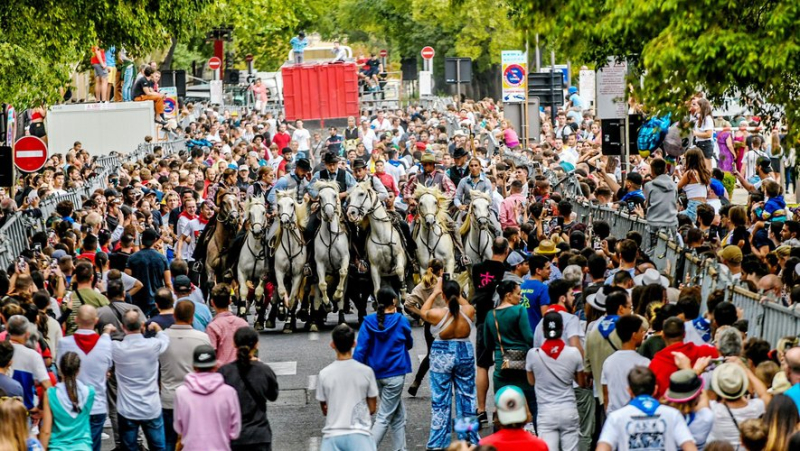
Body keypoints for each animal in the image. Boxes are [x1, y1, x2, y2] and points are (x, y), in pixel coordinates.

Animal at [238, 198, 272, 328]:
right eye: (250, 213)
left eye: (263, 212)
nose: (257, 232)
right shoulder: (241, 273)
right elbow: (243, 291)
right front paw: (242, 314)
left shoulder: (263, 275)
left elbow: (258, 293)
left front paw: (258, 320)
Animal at [268, 189, 306, 334]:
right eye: (278, 205)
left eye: (292, 204)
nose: (284, 221)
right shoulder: (279, 271)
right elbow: (281, 291)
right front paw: (281, 313)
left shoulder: (298, 274)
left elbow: (292, 297)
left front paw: (289, 322)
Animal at [312, 180, 350, 328]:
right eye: (320, 197)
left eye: (335, 195)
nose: (328, 214)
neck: (329, 236)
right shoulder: (319, 263)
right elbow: (322, 284)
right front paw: (327, 304)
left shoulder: (345, 258)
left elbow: (343, 272)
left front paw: (336, 296)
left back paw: (342, 318)